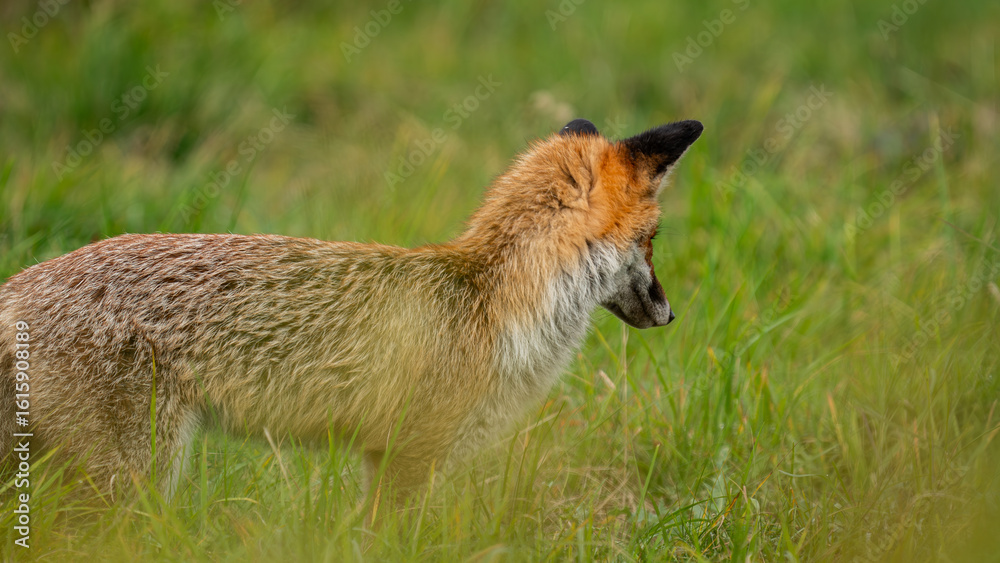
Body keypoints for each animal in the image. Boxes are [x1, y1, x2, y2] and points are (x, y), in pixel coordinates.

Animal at [0, 118, 702, 511]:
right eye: (652, 239)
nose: (670, 316)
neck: (491, 302)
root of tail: (18, 284)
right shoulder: (411, 455)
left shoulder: (382, 455)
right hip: (131, 477)